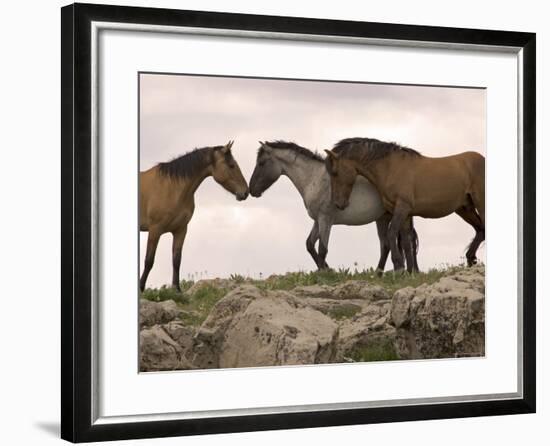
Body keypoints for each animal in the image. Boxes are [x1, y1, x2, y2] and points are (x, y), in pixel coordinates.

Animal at [140, 141, 250, 290]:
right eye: (231, 165)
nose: (245, 192)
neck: (172, 188)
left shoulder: (181, 230)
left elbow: (176, 260)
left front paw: (177, 289)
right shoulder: (155, 230)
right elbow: (149, 261)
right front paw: (141, 288)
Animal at [249, 141, 418, 274]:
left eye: (261, 163)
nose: (251, 190)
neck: (314, 179)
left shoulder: (326, 219)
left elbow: (322, 248)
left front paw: (324, 273)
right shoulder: (317, 220)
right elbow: (310, 244)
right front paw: (326, 269)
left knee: (401, 242)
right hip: (383, 218)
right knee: (391, 244)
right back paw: (385, 272)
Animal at [326, 138, 486, 274]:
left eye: (334, 172)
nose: (338, 203)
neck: (391, 168)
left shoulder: (402, 208)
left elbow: (392, 233)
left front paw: (399, 267)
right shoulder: (406, 213)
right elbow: (406, 242)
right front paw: (410, 272)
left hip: (480, 203)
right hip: (464, 209)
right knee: (480, 229)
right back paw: (470, 258)